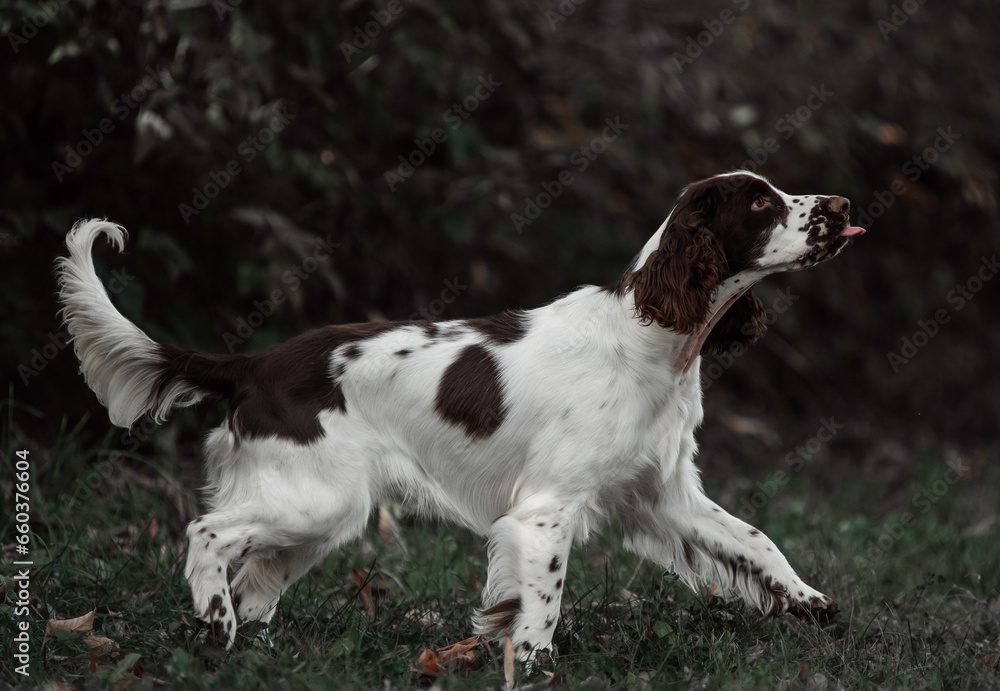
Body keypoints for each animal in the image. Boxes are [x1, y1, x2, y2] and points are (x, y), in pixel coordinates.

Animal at [58, 170, 864, 656]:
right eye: (759, 203)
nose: (843, 206)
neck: (652, 338)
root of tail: (254, 364)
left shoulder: (663, 495)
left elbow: (756, 542)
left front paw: (810, 602)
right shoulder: (546, 509)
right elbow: (542, 600)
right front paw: (531, 663)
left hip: (320, 514)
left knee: (255, 580)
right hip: (315, 497)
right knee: (207, 533)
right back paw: (213, 622)